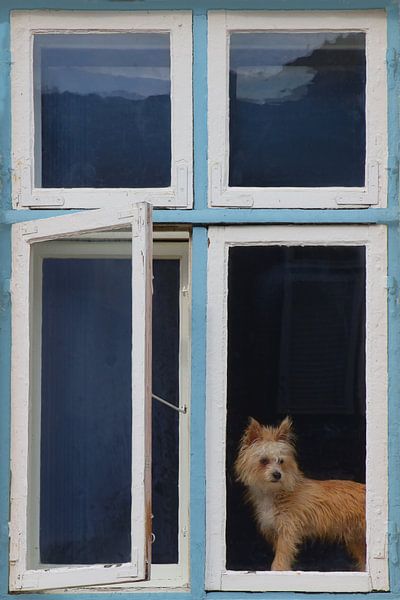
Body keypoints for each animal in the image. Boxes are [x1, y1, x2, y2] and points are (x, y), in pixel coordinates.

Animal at [234, 418, 366, 572]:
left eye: (281, 461)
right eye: (264, 460)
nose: (277, 475)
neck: (274, 492)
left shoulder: (287, 531)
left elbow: (281, 557)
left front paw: (278, 570)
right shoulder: (277, 532)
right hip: (356, 540)